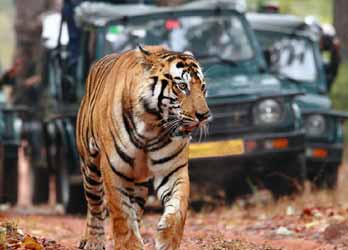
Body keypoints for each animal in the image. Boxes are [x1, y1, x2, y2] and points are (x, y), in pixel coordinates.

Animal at [76, 45, 209, 250]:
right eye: (182, 86)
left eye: (202, 87)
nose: (204, 115)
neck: (151, 127)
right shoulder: (114, 170)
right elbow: (122, 215)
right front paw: (129, 245)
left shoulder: (172, 170)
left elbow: (178, 209)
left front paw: (167, 240)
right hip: (90, 167)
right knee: (94, 205)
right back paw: (93, 241)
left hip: (137, 182)